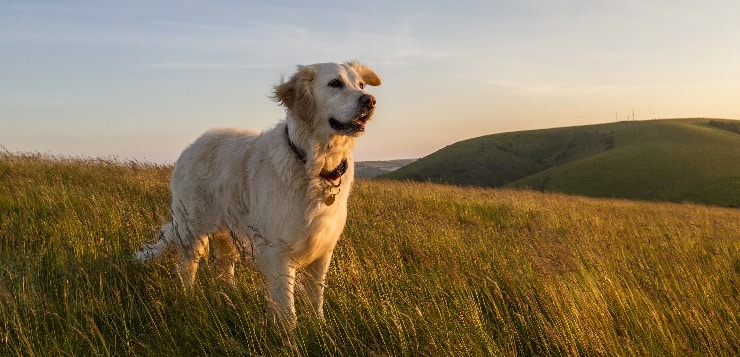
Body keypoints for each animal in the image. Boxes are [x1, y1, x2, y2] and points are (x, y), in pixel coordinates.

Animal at [134, 60, 384, 322]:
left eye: (361, 85)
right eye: (335, 83)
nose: (370, 101)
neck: (314, 164)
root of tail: (192, 145)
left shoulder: (322, 252)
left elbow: (316, 300)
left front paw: (320, 327)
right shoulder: (278, 253)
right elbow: (288, 312)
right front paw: (290, 333)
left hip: (226, 233)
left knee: (223, 268)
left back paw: (229, 298)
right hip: (192, 229)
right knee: (186, 268)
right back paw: (188, 299)